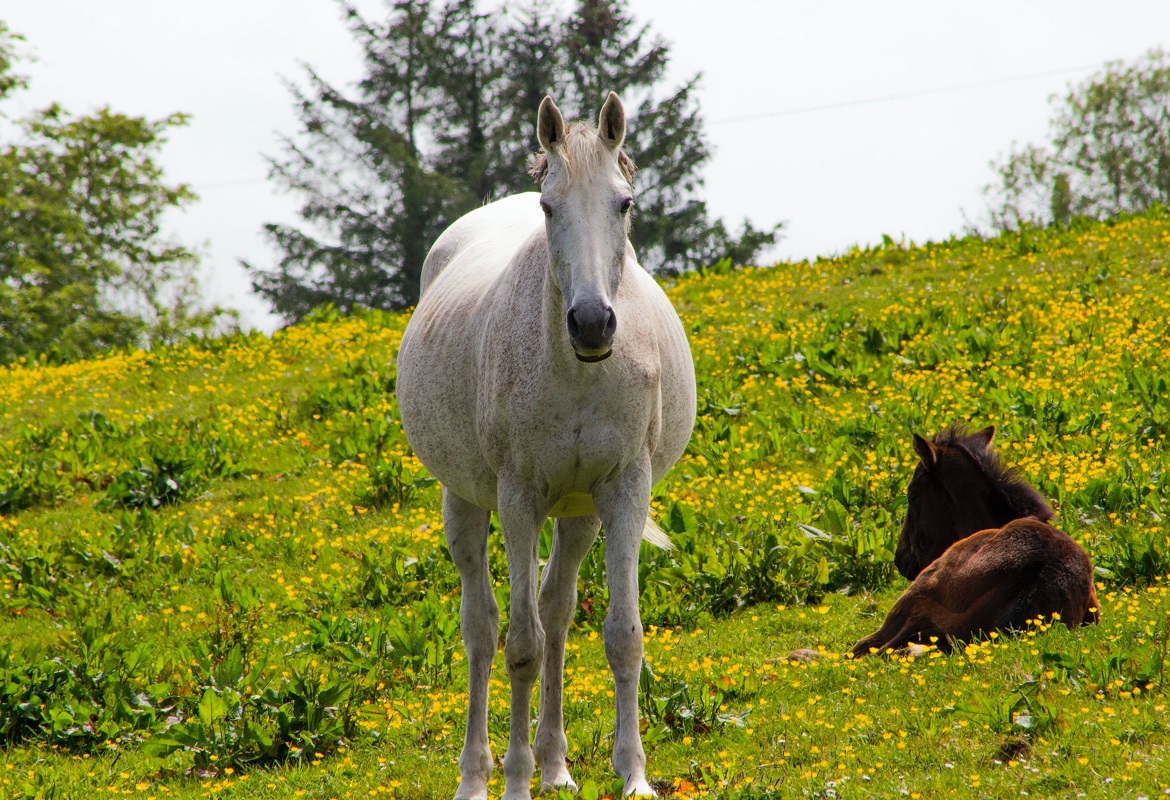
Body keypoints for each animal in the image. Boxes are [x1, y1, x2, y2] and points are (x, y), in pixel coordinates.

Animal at [397, 95, 697, 799]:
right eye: (549, 207)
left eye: (624, 203)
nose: (591, 323)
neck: (579, 371)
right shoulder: (519, 499)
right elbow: (521, 646)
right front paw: (514, 781)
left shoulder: (624, 489)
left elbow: (621, 635)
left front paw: (633, 775)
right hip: (465, 503)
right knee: (482, 630)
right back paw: (476, 777)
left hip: (580, 512)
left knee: (559, 614)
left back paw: (557, 766)